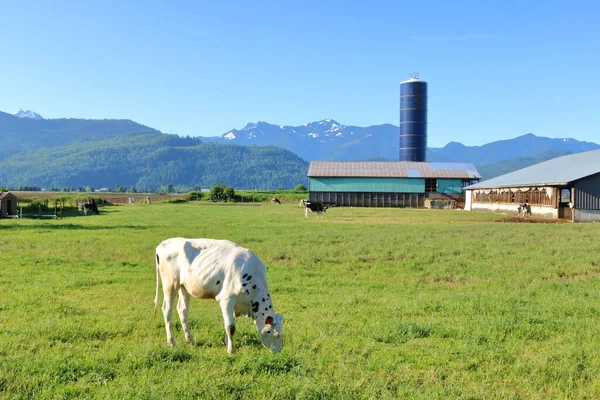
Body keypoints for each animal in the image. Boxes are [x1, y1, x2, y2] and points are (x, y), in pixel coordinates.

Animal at [152, 238, 284, 354]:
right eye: (274, 333)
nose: (278, 351)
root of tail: (163, 244)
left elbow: (229, 323)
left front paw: (227, 342)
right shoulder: (226, 299)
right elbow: (230, 326)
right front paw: (231, 350)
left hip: (184, 287)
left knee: (182, 310)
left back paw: (190, 340)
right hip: (170, 284)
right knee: (167, 311)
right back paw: (171, 342)